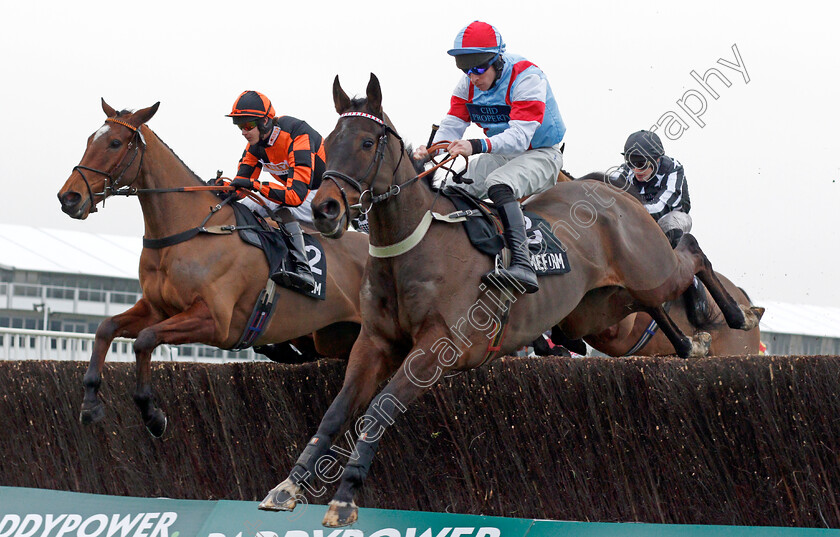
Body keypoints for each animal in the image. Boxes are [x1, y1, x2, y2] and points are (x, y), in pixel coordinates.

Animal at [55, 99, 364, 436]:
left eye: (114, 143)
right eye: (90, 140)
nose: (69, 198)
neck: (189, 229)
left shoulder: (214, 320)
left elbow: (145, 340)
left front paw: (151, 412)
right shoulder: (157, 309)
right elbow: (105, 328)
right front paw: (90, 403)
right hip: (332, 336)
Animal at [256, 73, 760, 524]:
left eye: (365, 143)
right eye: (328, 142)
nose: (326, 210)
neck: (413, 246)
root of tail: (618, 193)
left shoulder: (438, 349)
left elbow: (379, 410)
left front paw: (344, 498)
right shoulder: (374, 341)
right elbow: (337, 410)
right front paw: (289, 485)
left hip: (650, 270)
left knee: (690, 254)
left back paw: (737, 316)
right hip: (595, 312)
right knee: (647, 301)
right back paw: (691, 342)